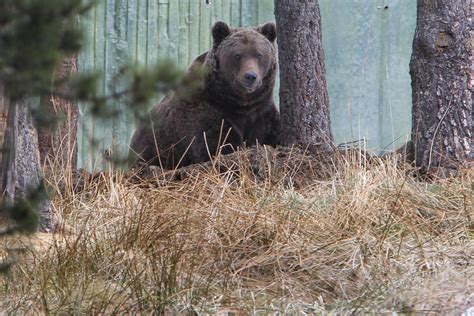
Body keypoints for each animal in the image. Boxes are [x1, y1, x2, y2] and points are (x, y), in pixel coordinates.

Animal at [128, 21, 280, 169]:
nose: (250, 76)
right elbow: (217, 145)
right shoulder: (207, 111)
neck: (239, 103)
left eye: (259, 55)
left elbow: (270, 135)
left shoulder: (261, 111)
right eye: (237, 55)